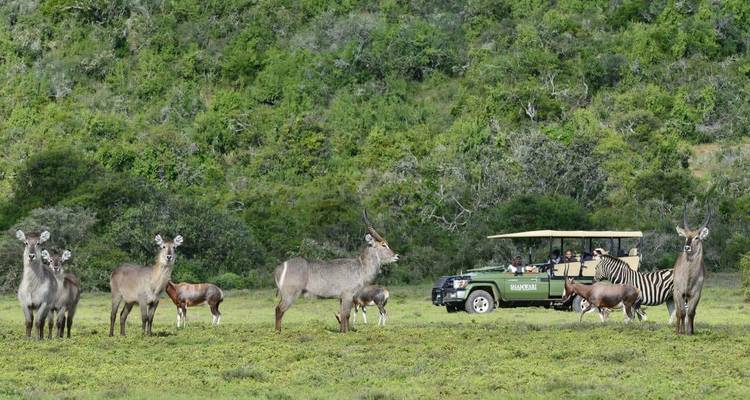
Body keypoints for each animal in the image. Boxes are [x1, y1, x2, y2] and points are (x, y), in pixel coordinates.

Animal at [673, 205, 711, 335]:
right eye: (685, 236)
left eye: (697, 237)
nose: (687, 247)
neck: (688, 277)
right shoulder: (679, 292)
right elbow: (681, 313)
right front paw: (681, 332)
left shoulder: (696, 294)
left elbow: (691, 313)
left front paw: (690, 332)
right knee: (679, 312)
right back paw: (678, 330)